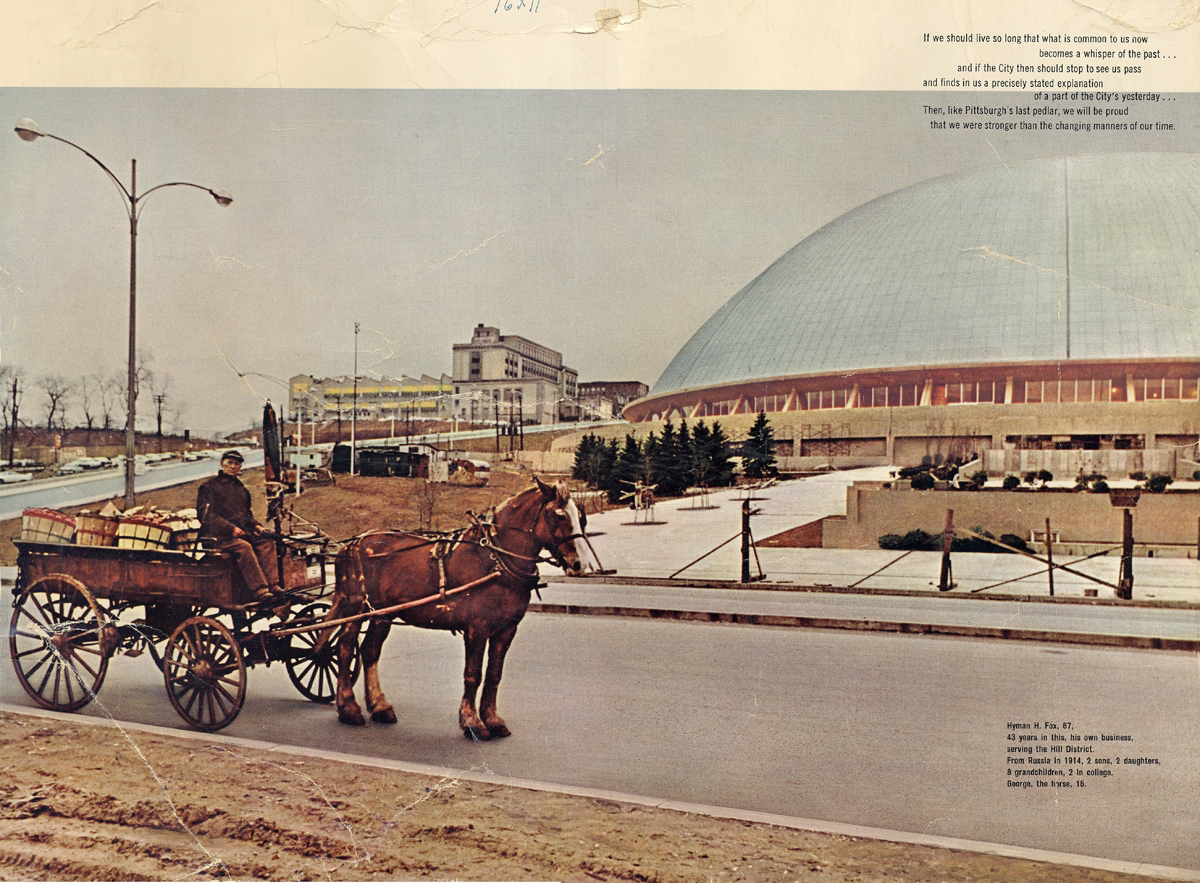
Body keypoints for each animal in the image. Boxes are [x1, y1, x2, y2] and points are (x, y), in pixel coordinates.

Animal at [326, 475, 592, 739]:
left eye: (581, 517)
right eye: (559, 516)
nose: (580, 564)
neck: (496, 560)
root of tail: (350, 545)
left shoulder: (506, 630)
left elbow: (494, 674)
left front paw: (492, 720)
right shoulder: (477, 628)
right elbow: (473, 674)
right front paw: (472, 722)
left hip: (382, 614)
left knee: (369, 651)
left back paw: (380, 707)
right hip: (356, 608)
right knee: (345, 648)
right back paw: (348, 708)